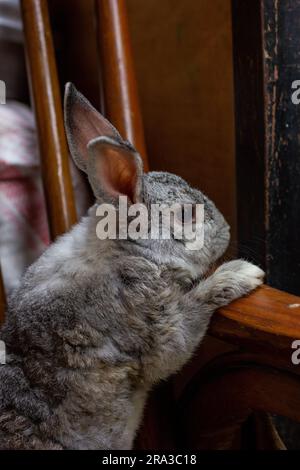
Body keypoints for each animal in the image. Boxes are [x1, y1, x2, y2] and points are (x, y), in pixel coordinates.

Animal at [0, 82, 264, 450]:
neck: (126, 250)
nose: (225, 229)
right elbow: (185, 327)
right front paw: (241, 273)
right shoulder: (155, 323)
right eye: (187, 214)